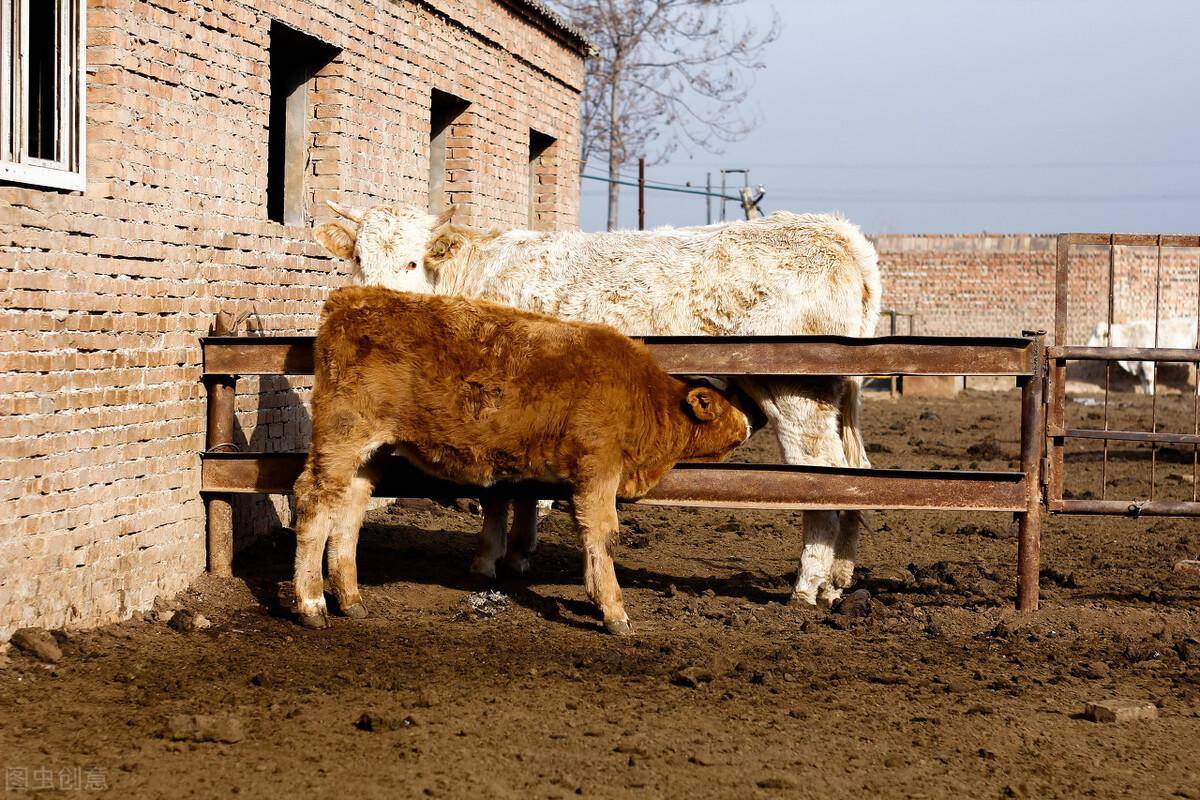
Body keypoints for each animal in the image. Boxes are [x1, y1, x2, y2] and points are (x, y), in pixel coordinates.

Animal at [290, 286, 748, 633]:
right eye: (722, 406)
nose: (746, 424)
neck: (643, 397)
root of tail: (351, 297)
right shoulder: (598, 469)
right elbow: (603, 535)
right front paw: (614, 611)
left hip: (370, 455)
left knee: (349, 514)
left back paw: (350, 599)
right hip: (342, 438)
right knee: (314, 502)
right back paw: (312, 604)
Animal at [316, 201, 883, 606]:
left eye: (412, 260)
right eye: (358, 259)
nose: (378, 306)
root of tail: (836, 230)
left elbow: (499, 489)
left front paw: (488, 558)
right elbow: (522, 486)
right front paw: (518, 552)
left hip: (796, 394)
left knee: (821, 476)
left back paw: (807, 584)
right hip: (840, 397)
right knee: (858, 474)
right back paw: (837, 580)